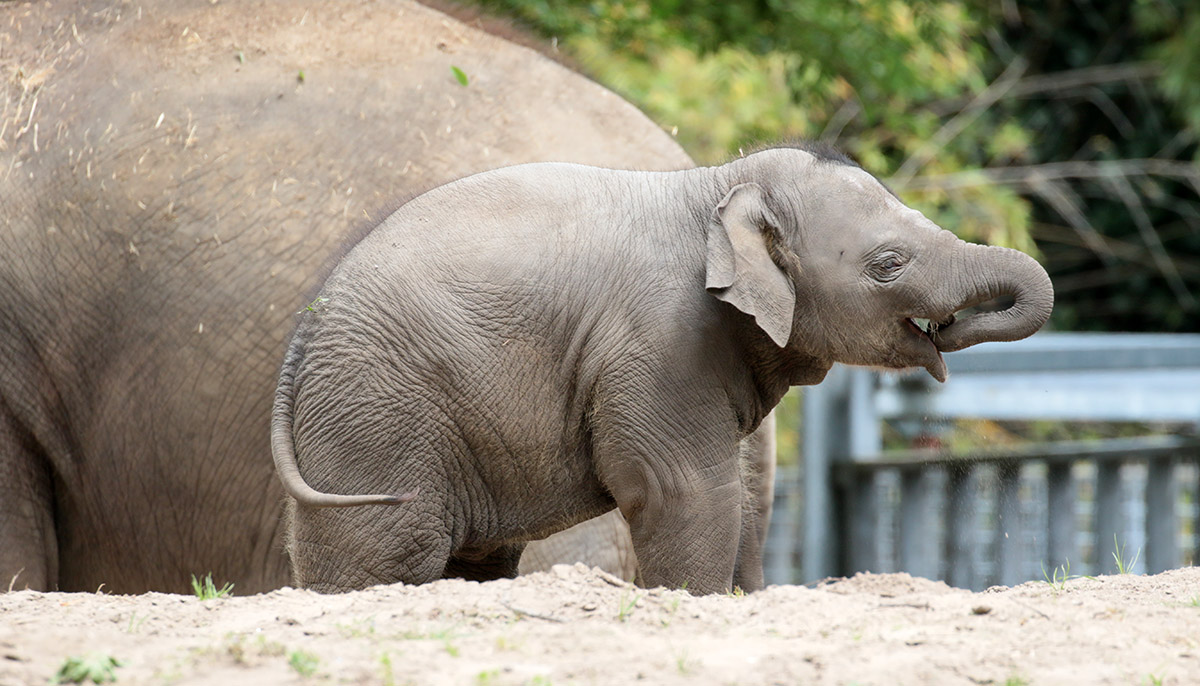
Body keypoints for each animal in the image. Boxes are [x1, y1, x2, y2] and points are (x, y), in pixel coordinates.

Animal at [274, 144, 1051, 594]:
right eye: (888, 264)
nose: (947, 332)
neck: (715, 189)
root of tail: (304, 331)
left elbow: (731, 496)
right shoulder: (660, 341)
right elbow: (684, 491)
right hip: (374, 420)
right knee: (385, 554)